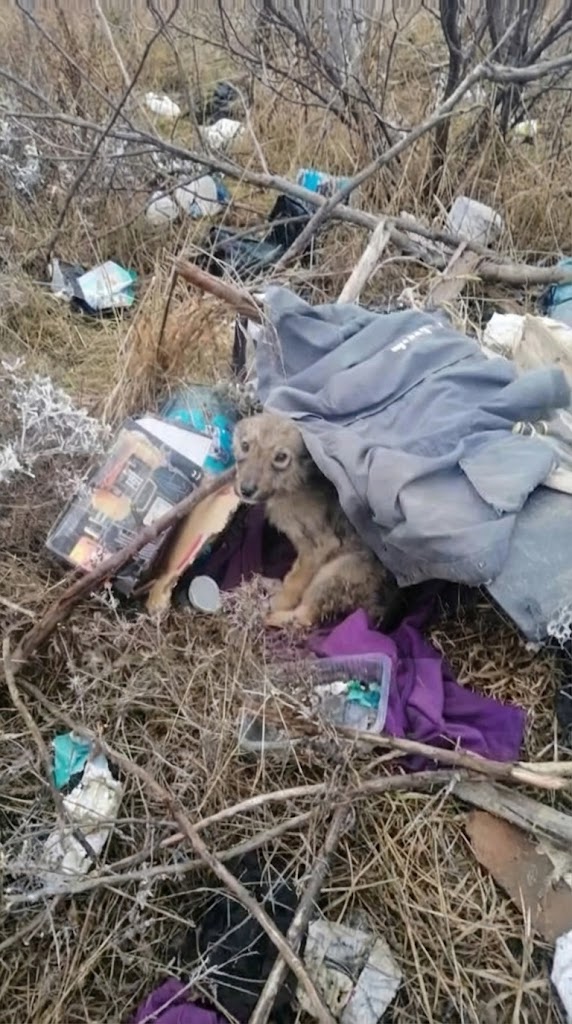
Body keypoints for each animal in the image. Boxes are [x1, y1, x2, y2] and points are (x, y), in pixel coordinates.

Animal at [232, 412, 388, 628]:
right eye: (245, 446)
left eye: (281, 457)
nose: (245, 490)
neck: (295, 484)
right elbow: (293, 575)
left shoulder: (319, 546)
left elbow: (296, 581)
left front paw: (279, 602)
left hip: (334, 571)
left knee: (305, 617)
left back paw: (270, 615)